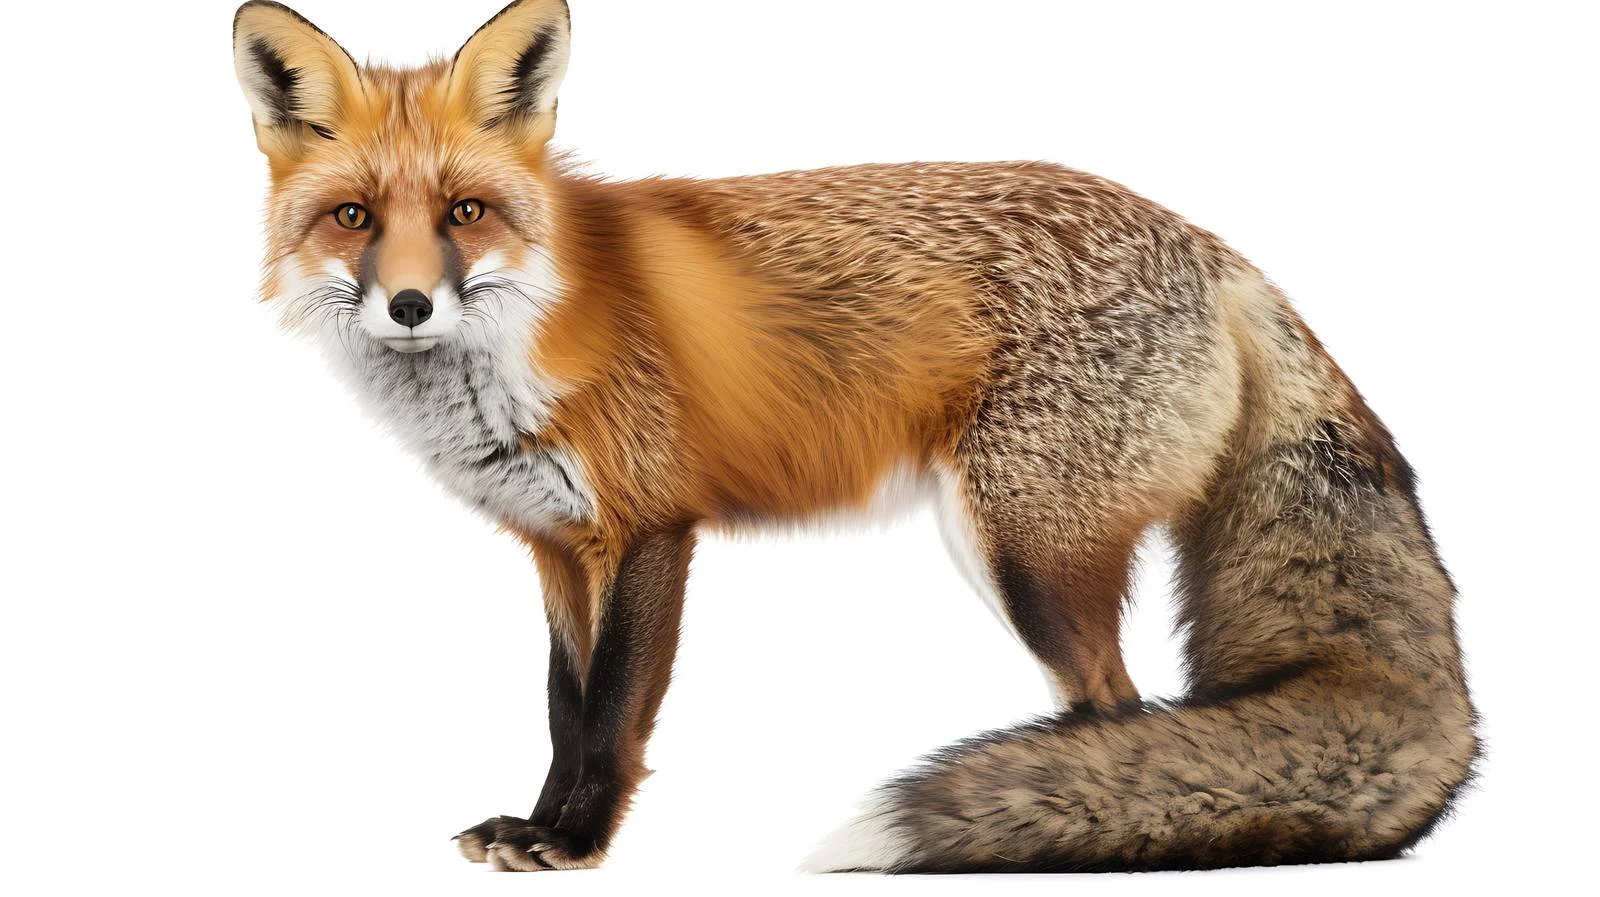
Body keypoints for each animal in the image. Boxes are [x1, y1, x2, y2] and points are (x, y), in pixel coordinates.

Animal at [232, 0, 1477, 874]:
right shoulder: (554, 545)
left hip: (1019, 549)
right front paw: (536, 826)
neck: (523, 339)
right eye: (353, 218)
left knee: (1119, 711)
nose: (408, 306)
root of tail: (1218, 250)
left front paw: (577, 846)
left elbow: (610, 718)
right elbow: (560, 709)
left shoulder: (652, 528)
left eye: (464, 213)